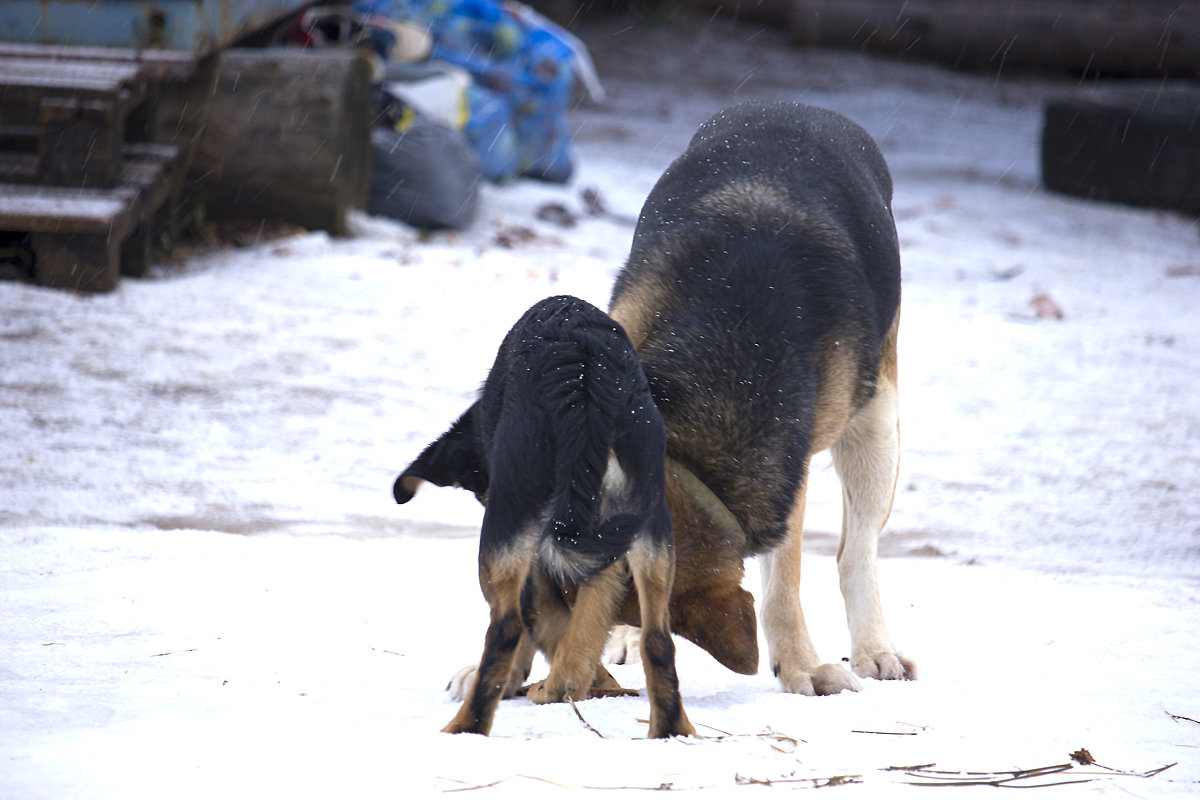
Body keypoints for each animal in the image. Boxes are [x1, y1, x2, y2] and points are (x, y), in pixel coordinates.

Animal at [396, 293, 696, 738]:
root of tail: (583, 366)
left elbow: (537, 619)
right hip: (650, 522)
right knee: (658, 639)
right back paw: (671, 731)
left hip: (511, 518)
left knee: (505, 628)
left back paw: (466, 727)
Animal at [604, 101, 912, 695]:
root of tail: (799, 106)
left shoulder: (787, 465)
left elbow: (784, 582)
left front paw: (800, 665)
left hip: (878, 430)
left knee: (855, 554)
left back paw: (875, 650)